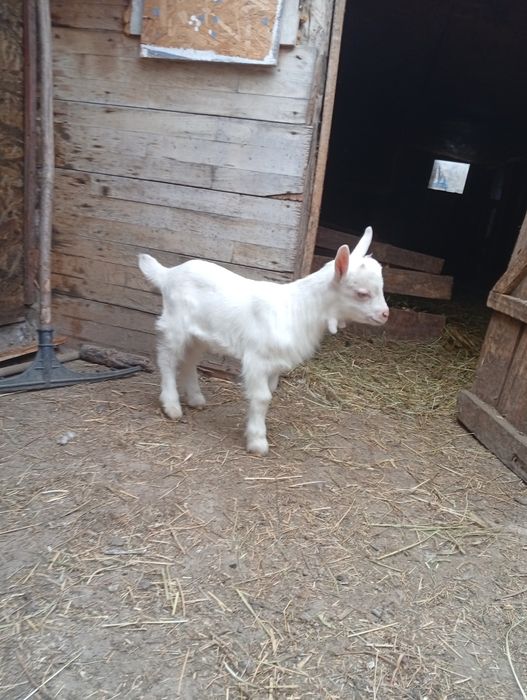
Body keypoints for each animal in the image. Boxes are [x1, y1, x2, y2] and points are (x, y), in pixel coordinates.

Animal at [139, 226, 389, 455]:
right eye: (362, 293)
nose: (385, 314)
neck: (297, 309)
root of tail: (168, 274)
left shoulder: (274, 363)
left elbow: (270, 392)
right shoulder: (257, 359)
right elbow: (262, 397)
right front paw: (258, 442)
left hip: (198, 334)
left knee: (190, 360)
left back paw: (196, 399)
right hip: (175, 326)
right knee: (167, 359)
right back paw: (171, 405)